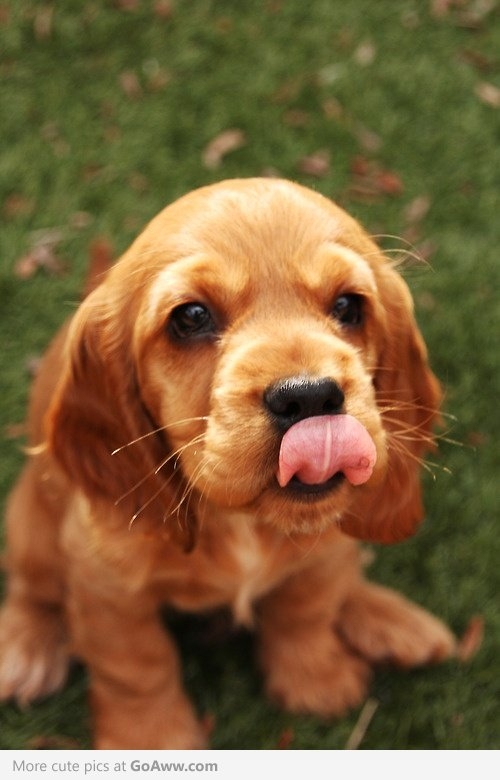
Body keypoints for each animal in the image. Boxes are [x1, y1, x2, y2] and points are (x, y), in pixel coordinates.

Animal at [0, 178, 454, 748]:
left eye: (349, 306)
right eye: (191, 317)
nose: (308, 397)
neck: (242, 521)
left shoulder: (326, 546)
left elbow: (307, 608)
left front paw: (315, 679)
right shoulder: (106, 584)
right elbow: (137, 666)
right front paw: (152, 739)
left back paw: (395, 622)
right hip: (30, 526)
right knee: (31, 586)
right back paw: (24, 648)